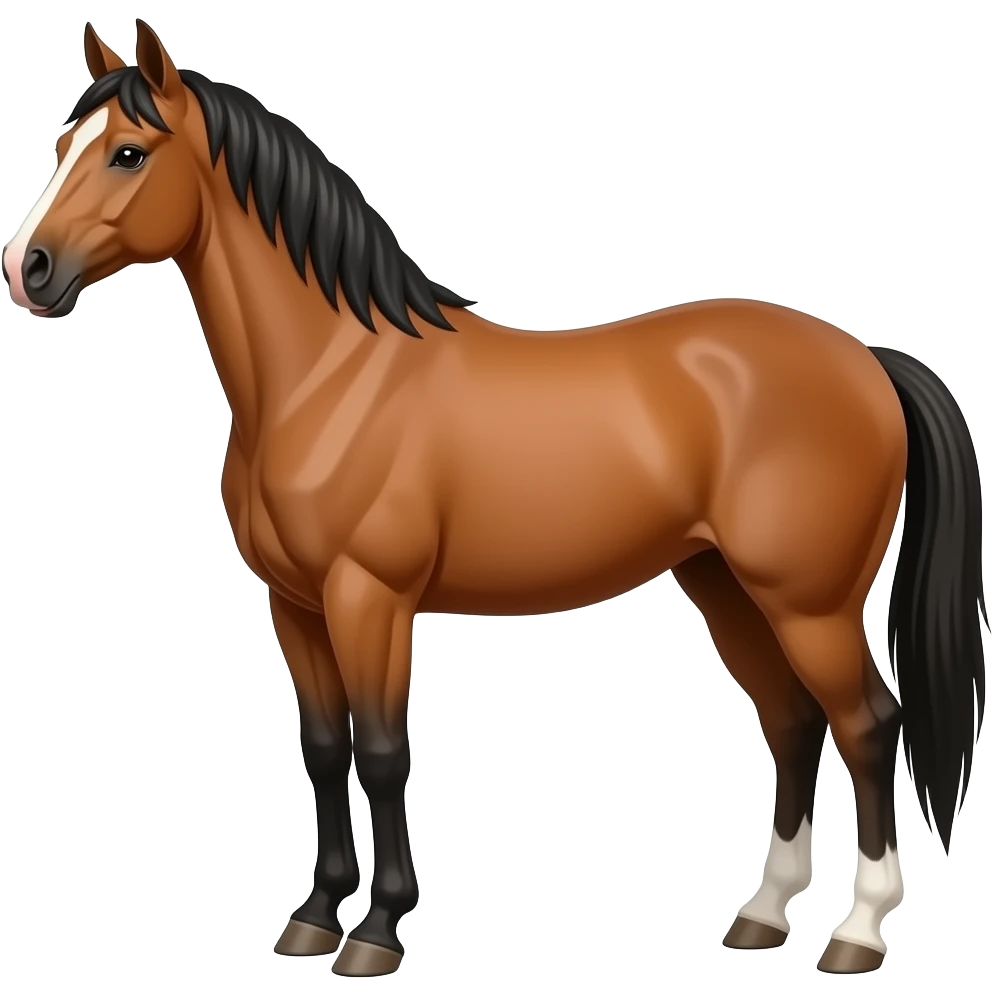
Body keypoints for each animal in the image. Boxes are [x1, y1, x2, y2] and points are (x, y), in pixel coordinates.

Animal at [3, 19, 987, 979]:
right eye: (60, 143)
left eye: (128, 152)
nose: (29, 269)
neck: (331, 375)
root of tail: (866, 360)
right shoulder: (294, 604)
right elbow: (323, 751)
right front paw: (315, 917)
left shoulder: (369, 598)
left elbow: (381, 751)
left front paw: (377, 931)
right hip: (726, 586)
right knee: (790, 723)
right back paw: (761, 914)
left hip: (808, 602)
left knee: (867, 726)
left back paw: (856, 931)